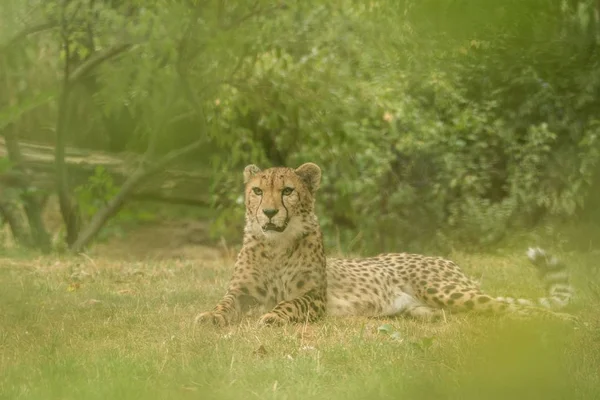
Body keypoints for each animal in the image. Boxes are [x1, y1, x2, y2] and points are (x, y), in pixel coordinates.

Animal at [196, 162, 572, 324]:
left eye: (287, 191)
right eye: (258, 191)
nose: (270, 212)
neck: (276, 245)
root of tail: (446, 260)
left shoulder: (314, 297)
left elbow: (289, 304)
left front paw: (272, 317)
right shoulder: (241, 292)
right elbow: (224, 305)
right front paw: (210, 316)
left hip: (447, 289)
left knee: (517, 308)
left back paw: (568, 323)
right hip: (430, 306)